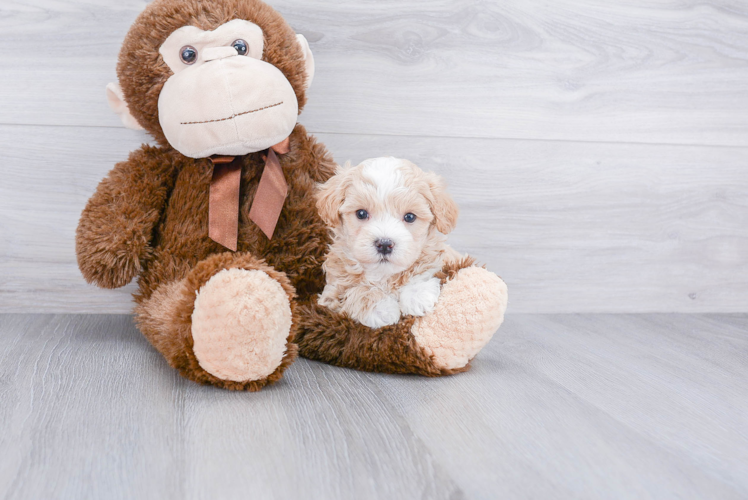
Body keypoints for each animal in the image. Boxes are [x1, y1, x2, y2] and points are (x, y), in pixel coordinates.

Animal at [316, 156, 462, 328]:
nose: (384, 244)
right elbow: (354, 291)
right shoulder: (331, 296)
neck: (383, 276)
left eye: (410, 217)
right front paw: (381, 308)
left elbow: (425, 267)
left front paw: (417, 294)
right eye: (361, 213)